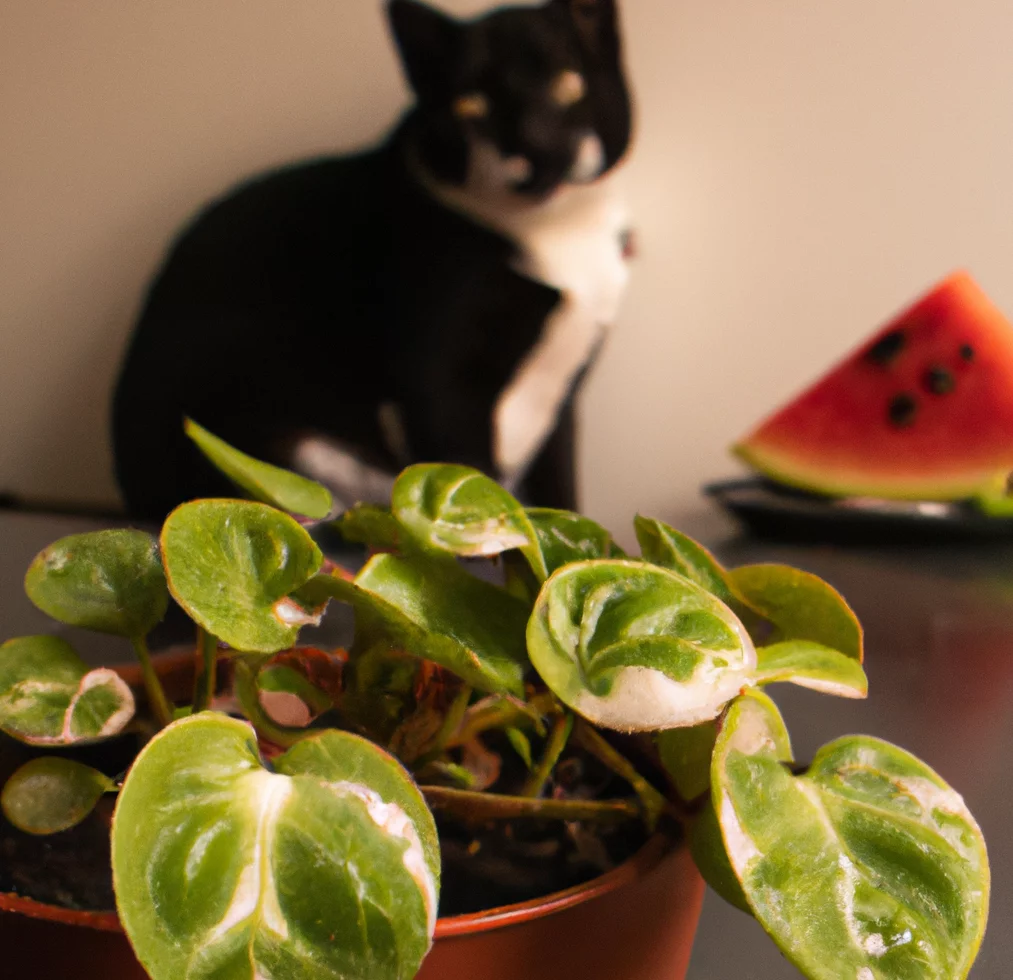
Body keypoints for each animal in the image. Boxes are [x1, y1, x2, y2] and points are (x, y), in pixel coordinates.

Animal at [110, 0, 632, 522]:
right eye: (470, 106)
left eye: (567, 84)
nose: (535, 155)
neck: (554, 229)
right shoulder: (437, 376)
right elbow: (469, 466)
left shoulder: (563, 399)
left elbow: (561, 488)